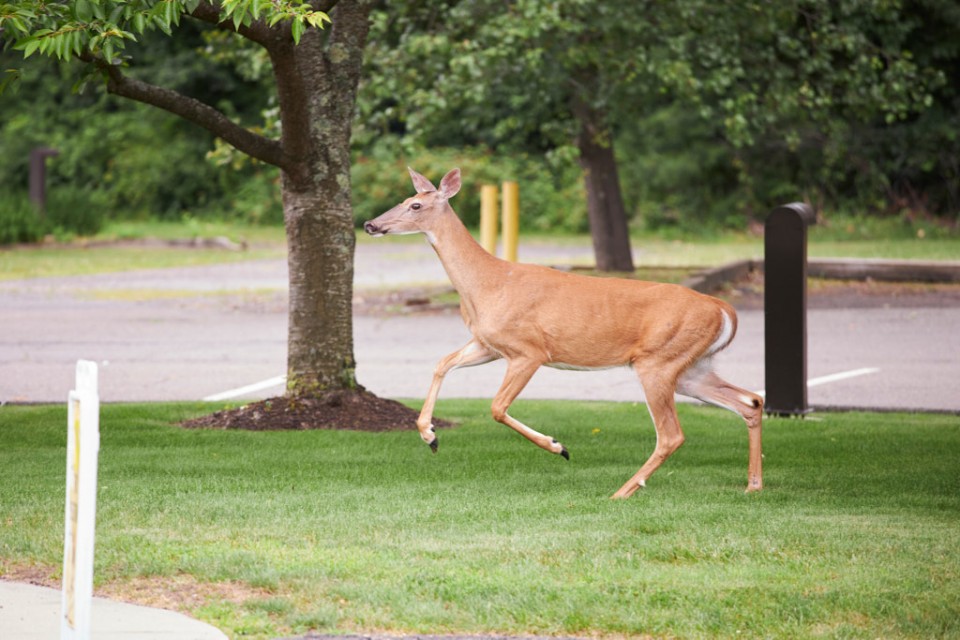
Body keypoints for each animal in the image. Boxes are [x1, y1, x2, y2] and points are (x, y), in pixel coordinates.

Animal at [364, 168, 760, 498]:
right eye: (404, 199)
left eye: (415, 205)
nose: (370, 224)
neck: (487, 284)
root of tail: (723, 309)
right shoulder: (488, 344)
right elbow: (442, 363)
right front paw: (429, 435)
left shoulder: (530, 349)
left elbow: (496, 407)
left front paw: (559, 447)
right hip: (691, 368)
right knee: (751, 402)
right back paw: (753, 485)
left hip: (659, 360)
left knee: (672, 434)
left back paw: (623, 491)